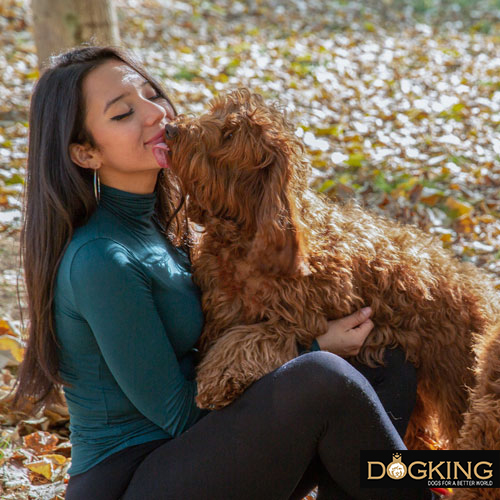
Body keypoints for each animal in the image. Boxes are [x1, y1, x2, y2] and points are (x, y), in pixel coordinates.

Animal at [157, 87, 500, 450]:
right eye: (214, 114)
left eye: (229, 134)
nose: (171, 130)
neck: (247, 237)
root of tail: (483, 290)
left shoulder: (302, 319)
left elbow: (252, 336)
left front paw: (222, 377)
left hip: (463, 386)